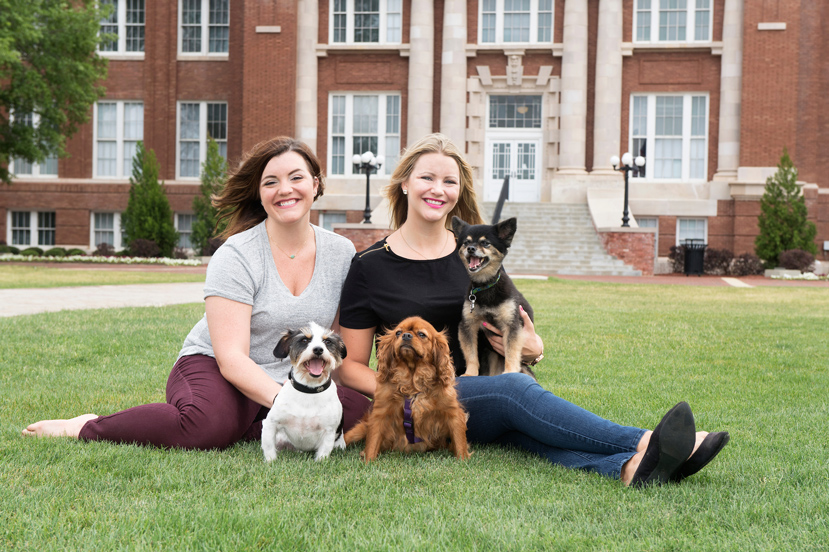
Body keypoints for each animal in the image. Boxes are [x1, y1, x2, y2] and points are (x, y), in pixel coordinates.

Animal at [262, 322, 346, 464]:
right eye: (304, 340)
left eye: (327, 341)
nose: (318, 349)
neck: (309, 390)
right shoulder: (270, 424)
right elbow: (268, 448)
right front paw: (270, 462)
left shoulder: (328, 431)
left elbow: (323, 453)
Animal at [344, 314, 472, 462]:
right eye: (398, 333)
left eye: (422, 334)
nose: (406, 335)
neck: (412, 383)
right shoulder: (379, 414)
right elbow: (373, 441)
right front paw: (368, 461)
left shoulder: (453, 413)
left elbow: (459, 441)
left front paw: (463, 461)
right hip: (359, 429)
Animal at [450, 217, 532, 380]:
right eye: (466, 242)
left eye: (485, 243)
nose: (471, 249)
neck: (485, 285)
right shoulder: (468, 325)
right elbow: (471, 354)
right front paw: (470, 373)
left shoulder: (512, 325)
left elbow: (511, 351)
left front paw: (510, 371)